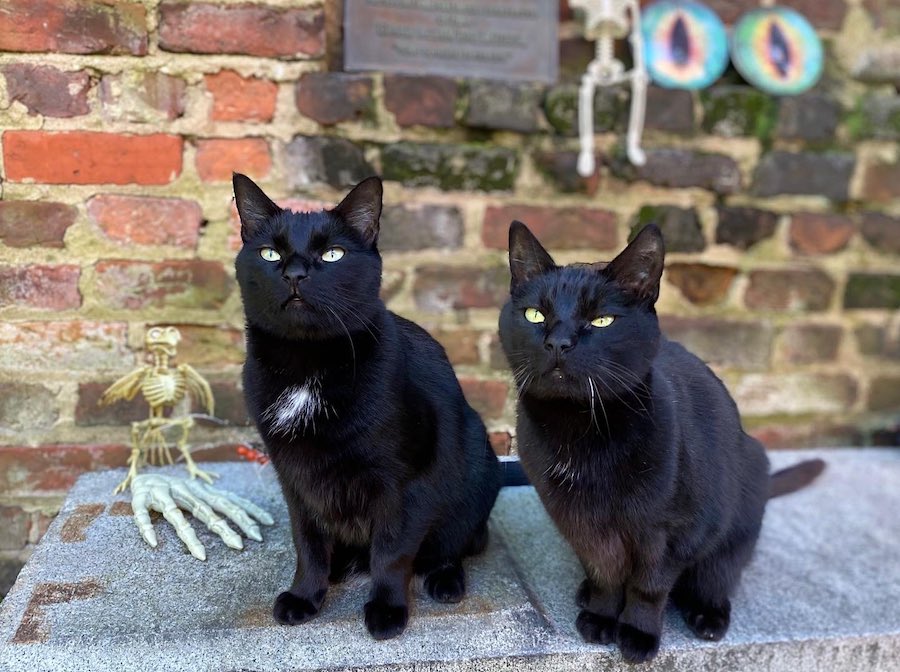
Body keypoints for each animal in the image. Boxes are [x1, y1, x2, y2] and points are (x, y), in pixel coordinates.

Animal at [236, 173, 502, 640]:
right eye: (270, 253)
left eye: (332, 254)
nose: (295, 273)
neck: (308, 366)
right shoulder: (294, 477)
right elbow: (307, 544)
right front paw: (305, 596)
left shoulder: (405, 481)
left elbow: (392, 552)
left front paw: (388, 610)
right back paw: (341, 565)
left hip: (475, 469)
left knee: (453, 544)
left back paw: (444, 580)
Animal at [500, 223, 824, 664]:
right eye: (536, 314)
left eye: (602, 320)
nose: (559, 343)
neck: (580, 428)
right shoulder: (580, 522)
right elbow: (605, 572)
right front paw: (601, 616)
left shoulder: (671, 530)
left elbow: (648, 587)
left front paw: (637, 635)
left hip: (737, 519)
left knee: (720, 574)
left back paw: (708, 615)